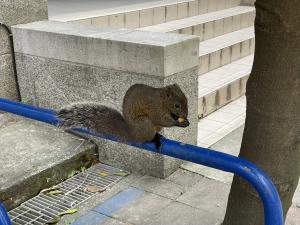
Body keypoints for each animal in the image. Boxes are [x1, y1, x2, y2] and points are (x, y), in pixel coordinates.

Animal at [55, 83, 190, 149]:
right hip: (145, 124)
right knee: (146, 138)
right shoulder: (154, 108)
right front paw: (179, 123)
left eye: (187, 100)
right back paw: (154, 139)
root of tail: (132, 133)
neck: (162, 101)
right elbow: (160, 119)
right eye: (177, 105)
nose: (185, 115)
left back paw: (158, 136)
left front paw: (184, 120)